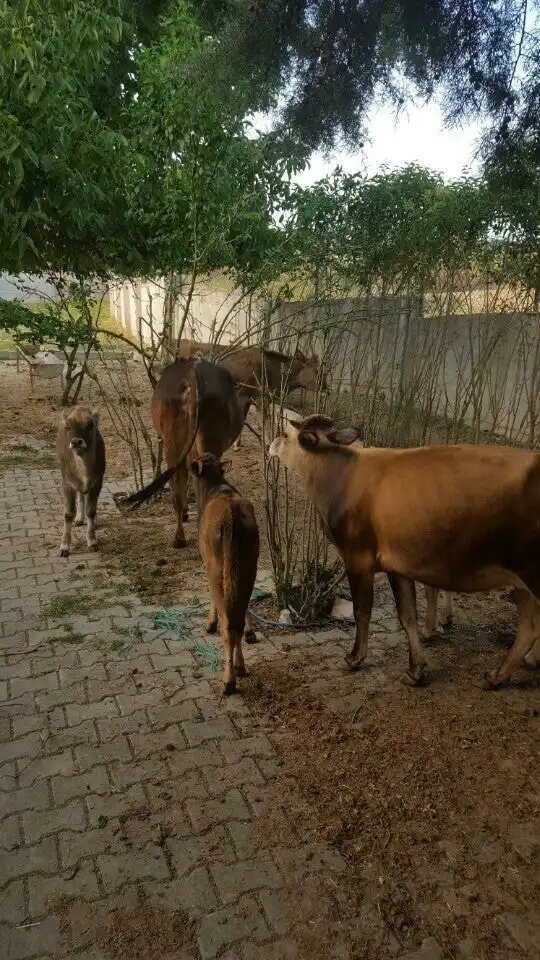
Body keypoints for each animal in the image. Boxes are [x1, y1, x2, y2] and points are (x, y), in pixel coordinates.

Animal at [56, 404, 106, 556]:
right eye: (68, 427)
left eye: (90, 425)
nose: (76, 442)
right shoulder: (66, 483)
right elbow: (67, 514)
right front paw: (64, 546)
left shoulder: (97, 482)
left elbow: (91, 511)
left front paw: (92, 541)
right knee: (81, 494)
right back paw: (78, 518)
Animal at [192, 454, 260, 692]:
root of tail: (231, 518)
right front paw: (251, 632)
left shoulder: (204, 560)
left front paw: (209, 623)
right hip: (249, 564)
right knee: (236, 616)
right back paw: (240, 665)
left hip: (216, 566)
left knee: (227, 623)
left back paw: (229, 679)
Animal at [270, 412, 540, 688]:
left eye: (284, 434)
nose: (272, 444)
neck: (340, 476)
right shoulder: (397, 565)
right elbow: (407, 615)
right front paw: (415, 669)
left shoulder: (357, 558)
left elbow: (362, 611)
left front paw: (354, 658)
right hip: (523, 583)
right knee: (530, 626)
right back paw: (497, 676)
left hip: (531, 572)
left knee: (530, 626)